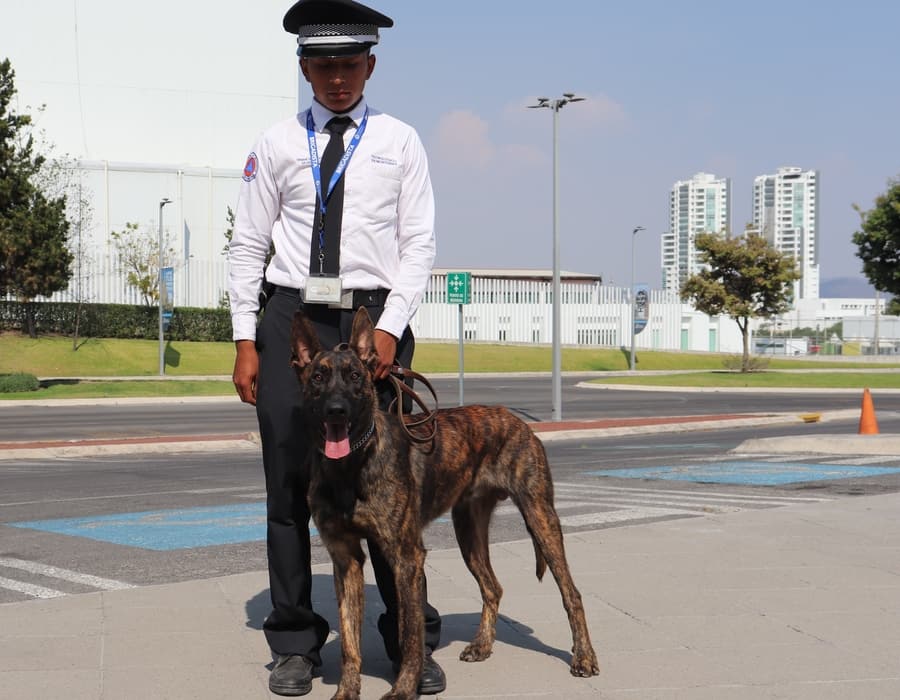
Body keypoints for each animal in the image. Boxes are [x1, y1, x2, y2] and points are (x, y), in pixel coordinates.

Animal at [288, 308, 596, 700]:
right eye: (318, 377)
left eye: (356, 376)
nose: (336, 410)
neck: (350, 465)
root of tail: (517, 421)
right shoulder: (346, 560)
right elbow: (349, 642)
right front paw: (346, 691)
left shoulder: (405, 558)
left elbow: (410, 633)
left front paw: (405, 688)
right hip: (469, 532)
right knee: (493, 587)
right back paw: (482, 645)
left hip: (541, 518)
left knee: (572, 593)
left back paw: (584, 657)